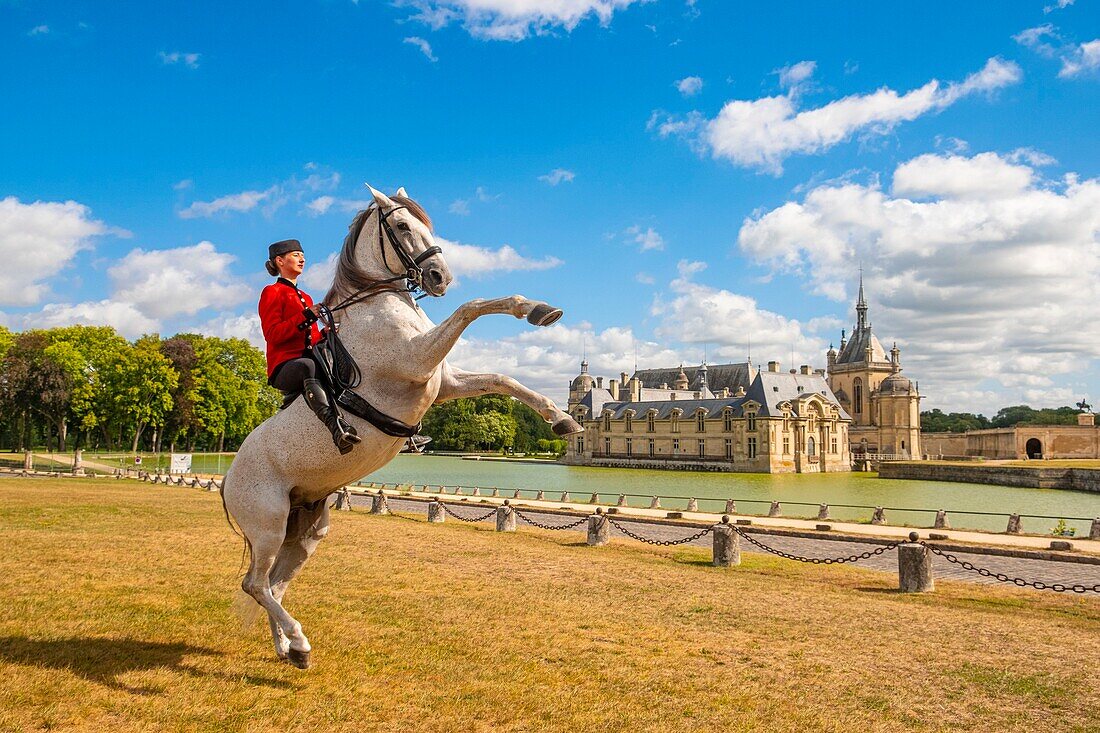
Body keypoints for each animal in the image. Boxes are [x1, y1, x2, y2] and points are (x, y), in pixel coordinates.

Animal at [223, 183, 585, 669]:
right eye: (400, 226)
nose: (439, 277)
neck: (377, 303)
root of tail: (227, 477)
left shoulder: (442, 380)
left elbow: (501, 378)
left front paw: (561, 415)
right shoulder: (418, 360)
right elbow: (471, 308)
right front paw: (532, 310)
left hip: (305, 531)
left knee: (274, 585)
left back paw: (289, 648)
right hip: (268, 525)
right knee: (255, 583)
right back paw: (298, 640)